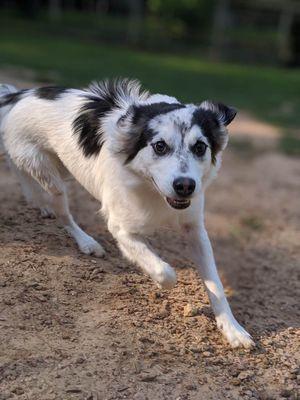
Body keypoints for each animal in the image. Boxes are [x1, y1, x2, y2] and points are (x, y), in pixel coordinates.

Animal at [0, 79, 253, 346]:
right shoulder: (121, 228)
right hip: (51, 177)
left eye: (200, 147)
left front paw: (233, 330)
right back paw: (86, 242)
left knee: (21, 174)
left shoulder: (195, 229)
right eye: (160, 146)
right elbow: (165, 271)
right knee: (63, 213)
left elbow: (216, 285)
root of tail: (18, 95)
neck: (153, 190)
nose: (185, 186)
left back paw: (40, 203)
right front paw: (156, 276)